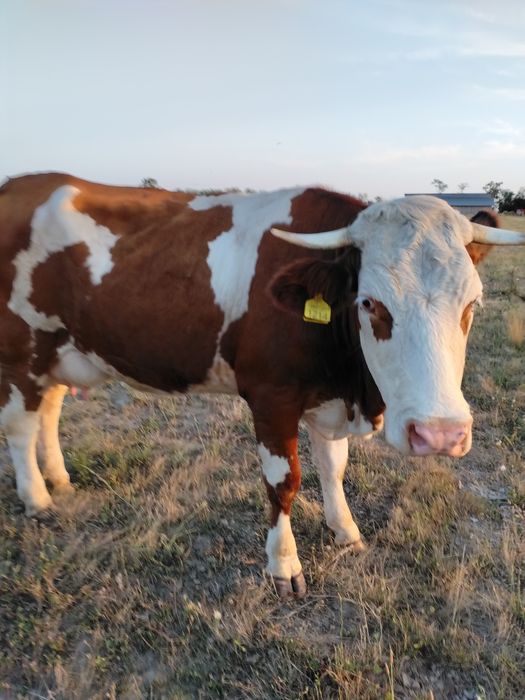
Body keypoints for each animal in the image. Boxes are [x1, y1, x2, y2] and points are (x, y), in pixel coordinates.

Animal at [1, 173, 524, 598]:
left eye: (472, 304)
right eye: (370, 303)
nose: (440, 435)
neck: (351, 386)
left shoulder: (326, 400)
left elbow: (333, 469)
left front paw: (345, 530)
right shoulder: (271, 400)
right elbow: (283, 482)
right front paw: (284, 565)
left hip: (57, 354)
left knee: (49, 410)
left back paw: (60, 480)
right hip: (22, 353)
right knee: (22, 426)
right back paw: (38, 498)